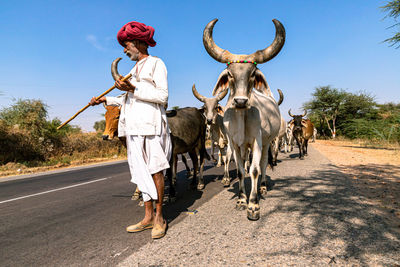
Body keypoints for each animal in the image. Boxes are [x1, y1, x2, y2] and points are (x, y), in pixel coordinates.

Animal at [205, 18, 286, 222]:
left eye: (253, 73)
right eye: (229, 74)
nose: (240, 101)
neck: (241, 118)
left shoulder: (257, 141)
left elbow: (254, 170)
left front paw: (253, 205)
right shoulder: (234, 144)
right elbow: (242, 171)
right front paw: (242, 200)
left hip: (267, 142)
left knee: (264, 164)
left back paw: (263, 187)